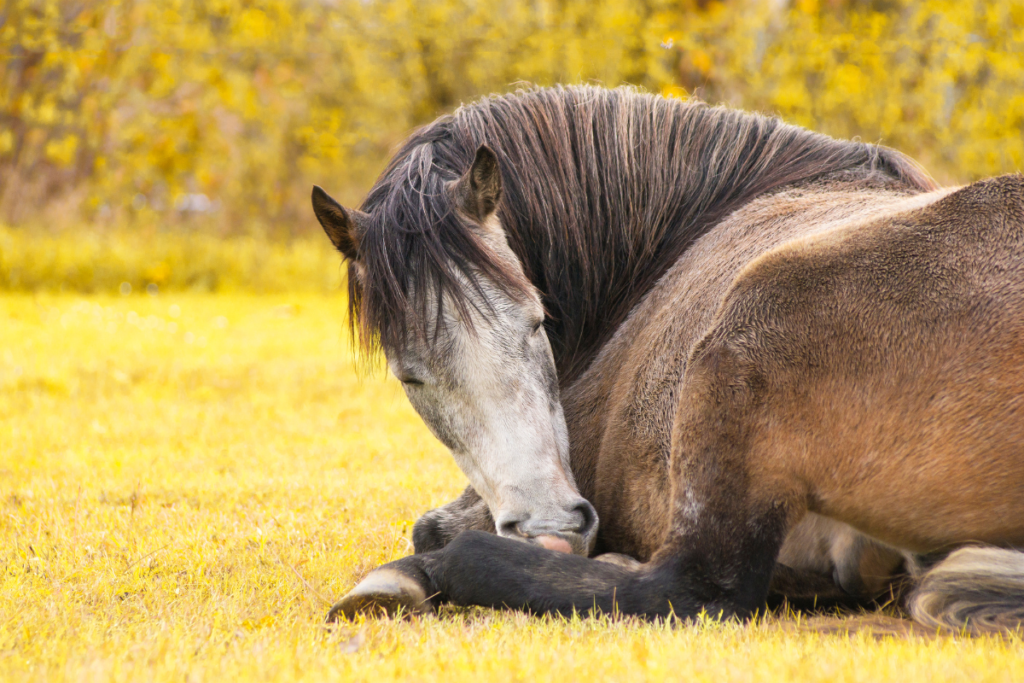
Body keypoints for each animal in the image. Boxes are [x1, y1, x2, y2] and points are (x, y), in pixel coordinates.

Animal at [311, 87, 1024, 634]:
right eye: (411, 375)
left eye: (535, 319)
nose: (549, 527)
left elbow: (432, 529)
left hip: (743, 347)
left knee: (695, 589)